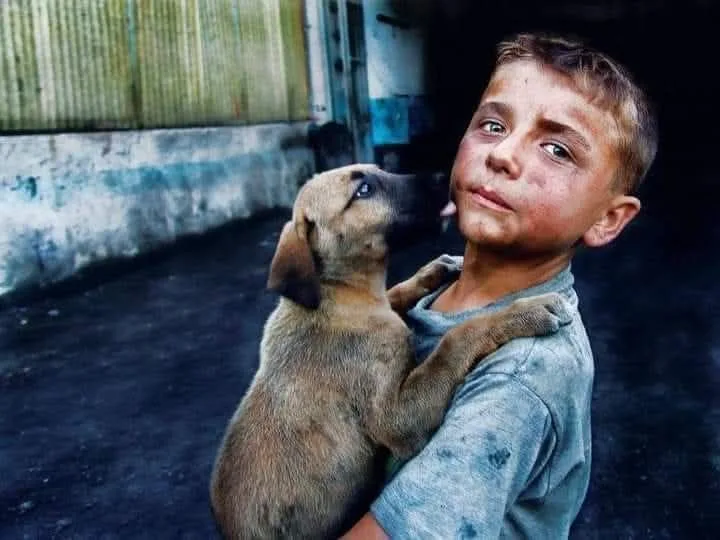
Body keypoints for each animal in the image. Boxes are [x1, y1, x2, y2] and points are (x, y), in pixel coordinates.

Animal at [208, 165, 568, 540]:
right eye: (364, 190)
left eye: (379, 170)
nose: (443, 175)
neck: (337, 293)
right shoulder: (396, 419)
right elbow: (455, 339)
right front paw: (522, 311)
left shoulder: (383, 303)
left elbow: (396, 293)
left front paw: (433, 271)